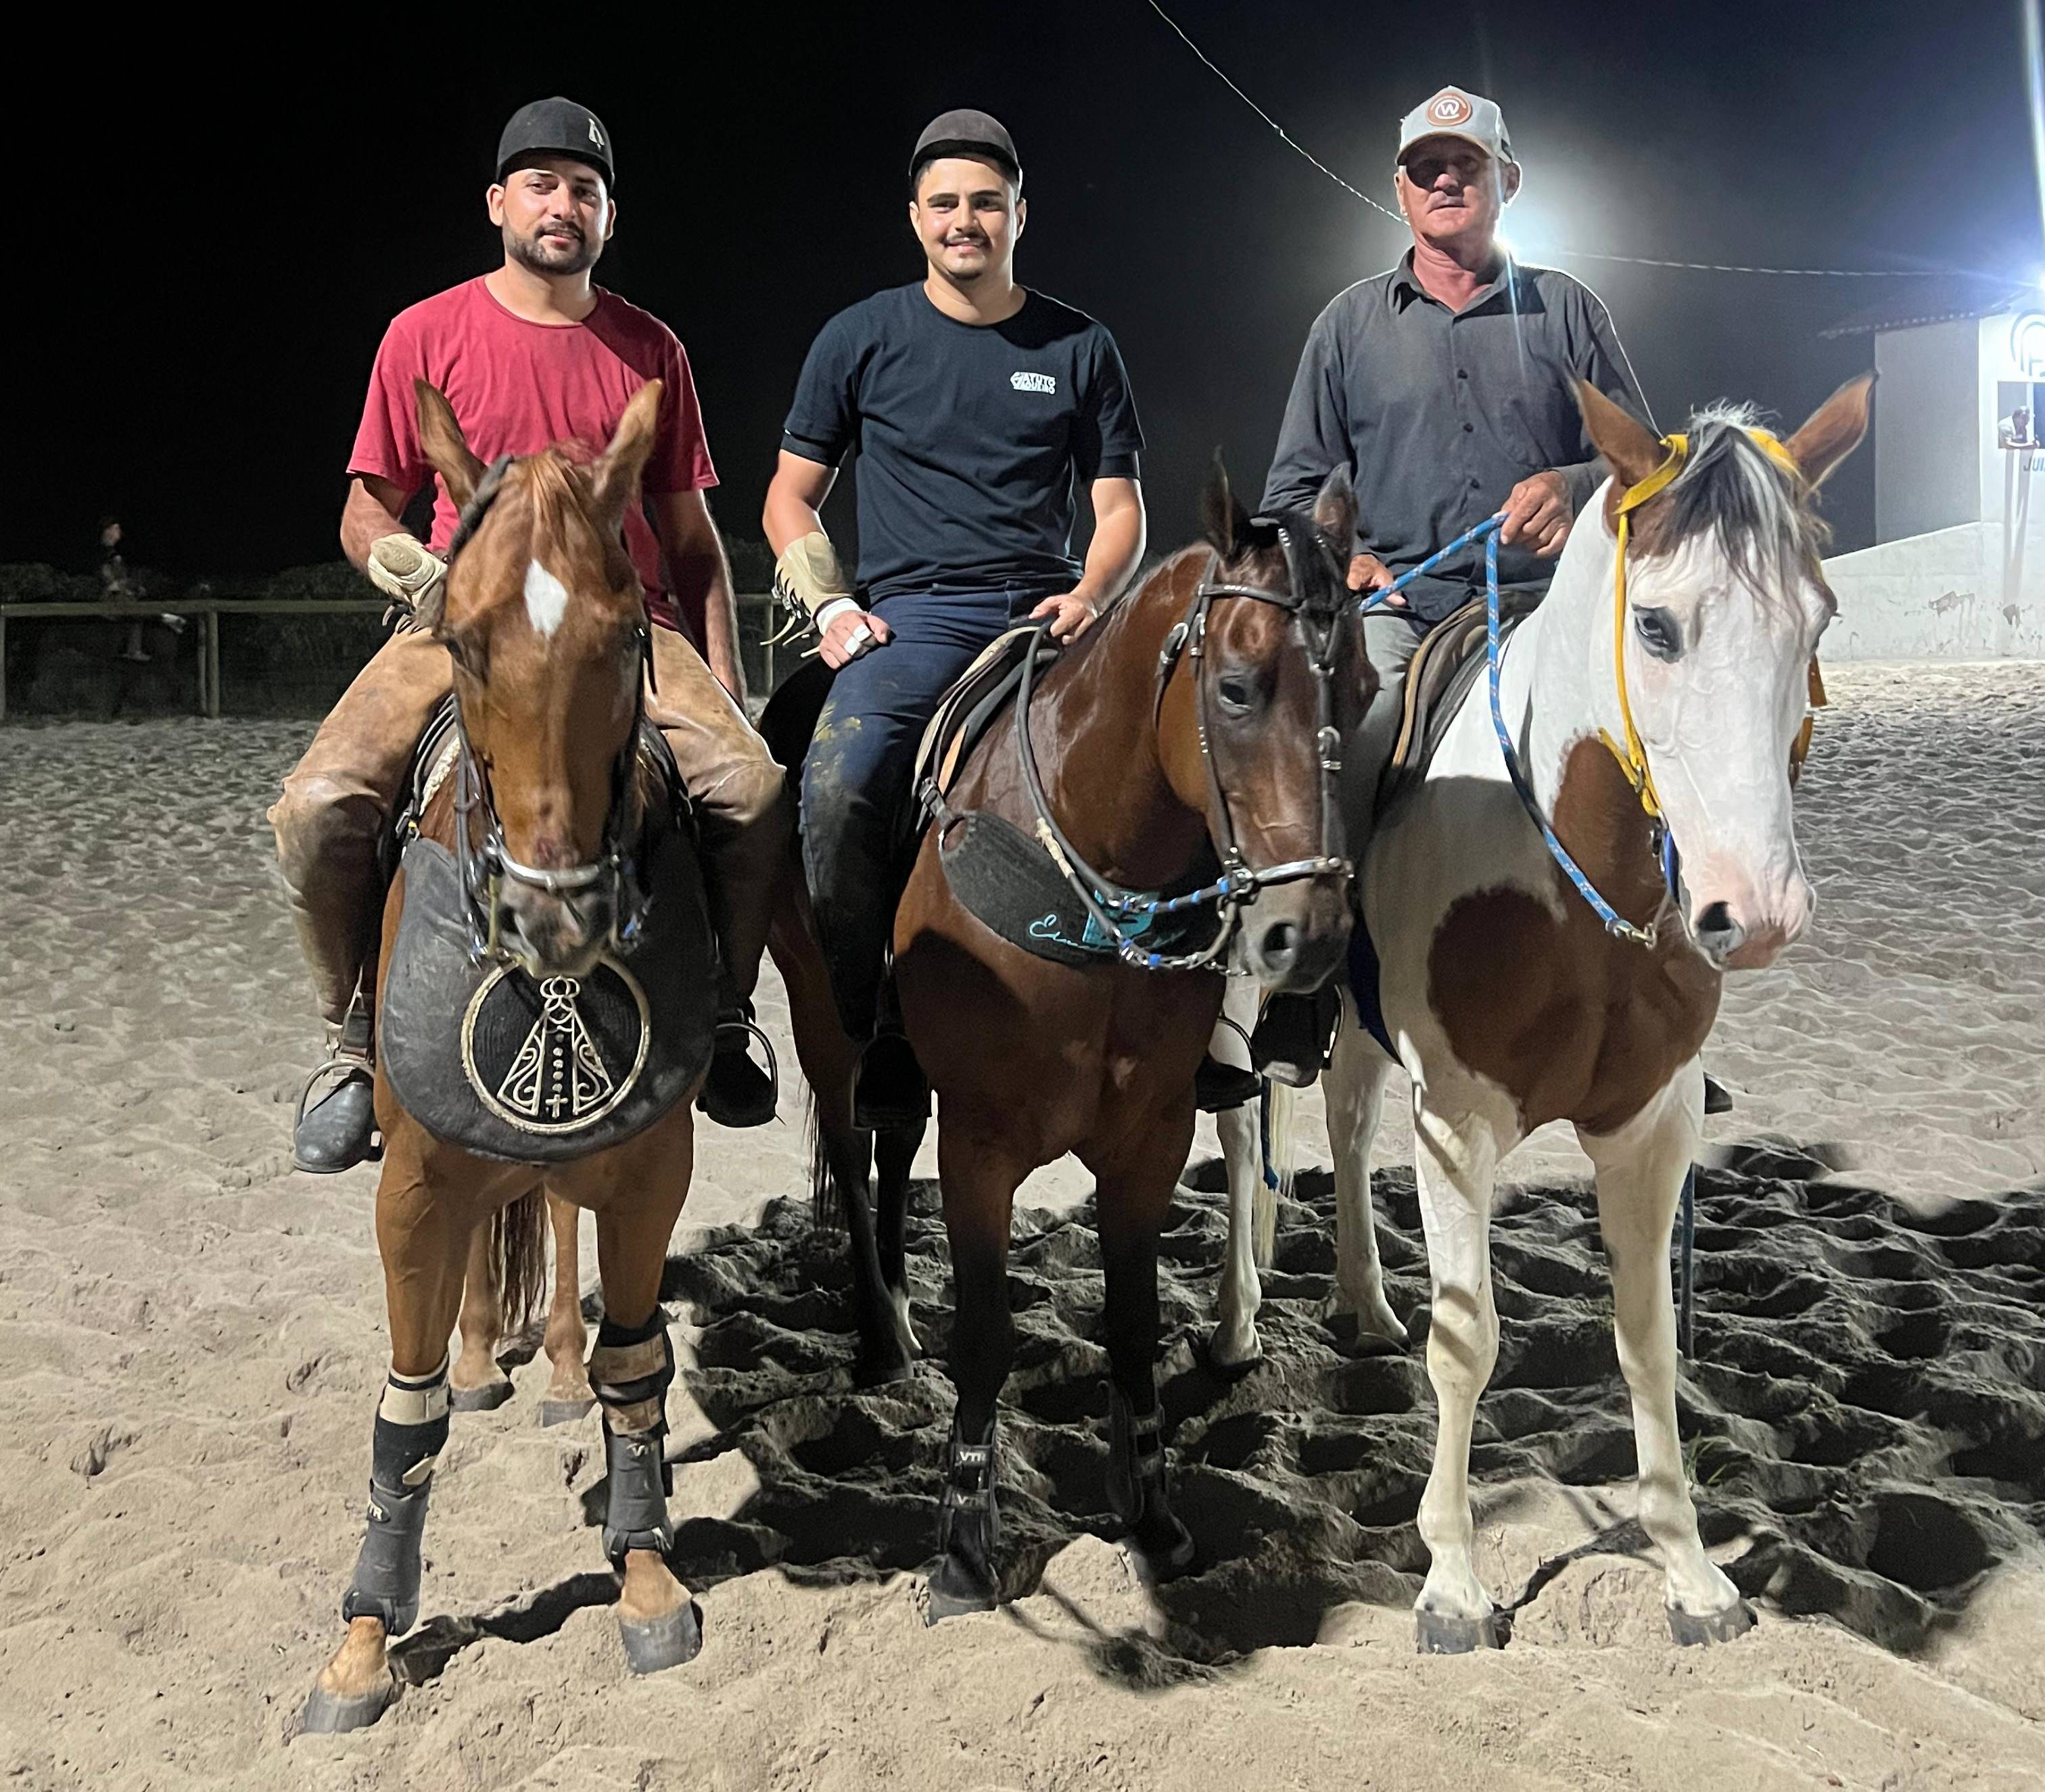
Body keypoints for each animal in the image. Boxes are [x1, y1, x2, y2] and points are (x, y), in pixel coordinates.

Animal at [298, 380, 715, 1735]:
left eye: (625, 638)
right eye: (464, 640)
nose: (555, 918)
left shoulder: (646, 1168)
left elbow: (637, 1371)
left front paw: (647, 1581)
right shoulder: (415, 1188)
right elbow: (407, 1407)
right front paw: (363, 1645)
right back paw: (489, 1355)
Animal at [899, 458, 1366, 1611]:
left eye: (1364, 687)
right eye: (1237, 688)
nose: (1310, 934)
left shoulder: (1149, 1139)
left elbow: (1131, 1321)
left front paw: (1151, 1511)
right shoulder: (974, 1144)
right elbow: (985, 1335)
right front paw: (964, 1541)